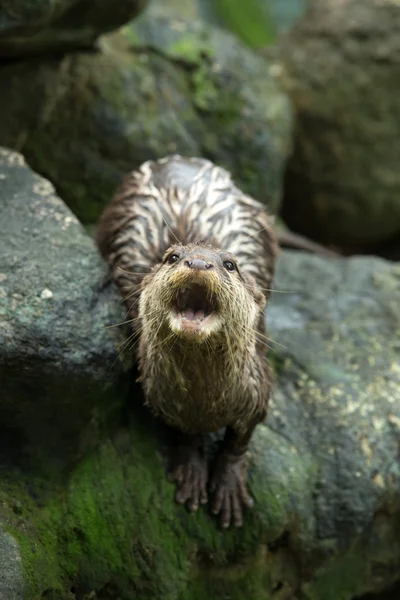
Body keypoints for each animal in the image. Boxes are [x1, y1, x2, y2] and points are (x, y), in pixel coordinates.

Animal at [96, 154, 278, 524]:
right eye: (172, 257)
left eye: (230, 264)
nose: (198, 262)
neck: (206, 400)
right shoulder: (163, 397)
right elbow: (184, 432)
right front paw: (193, 471)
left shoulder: (257, 389)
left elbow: (240, 438)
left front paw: (228, 484)